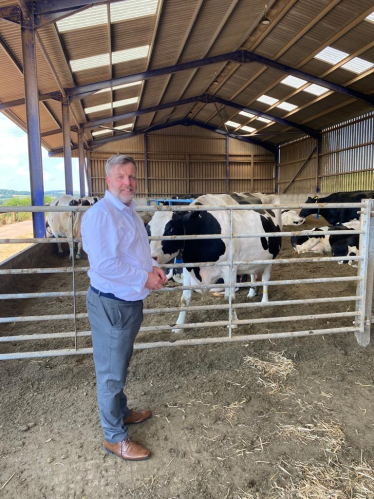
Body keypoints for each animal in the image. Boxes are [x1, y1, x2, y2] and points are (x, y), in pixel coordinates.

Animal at [148, 193, 282, 334]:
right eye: (148, 229)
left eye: (171, 229)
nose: (152, 258)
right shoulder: (188, 268)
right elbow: (184, 299)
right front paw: (179, 325)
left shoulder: (229, 269)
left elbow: (230, 297)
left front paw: (233, 323)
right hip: (251, 259)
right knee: (252, 274)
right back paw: (251, 293)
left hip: (270, 258)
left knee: (265, 278)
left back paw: (264, 301)